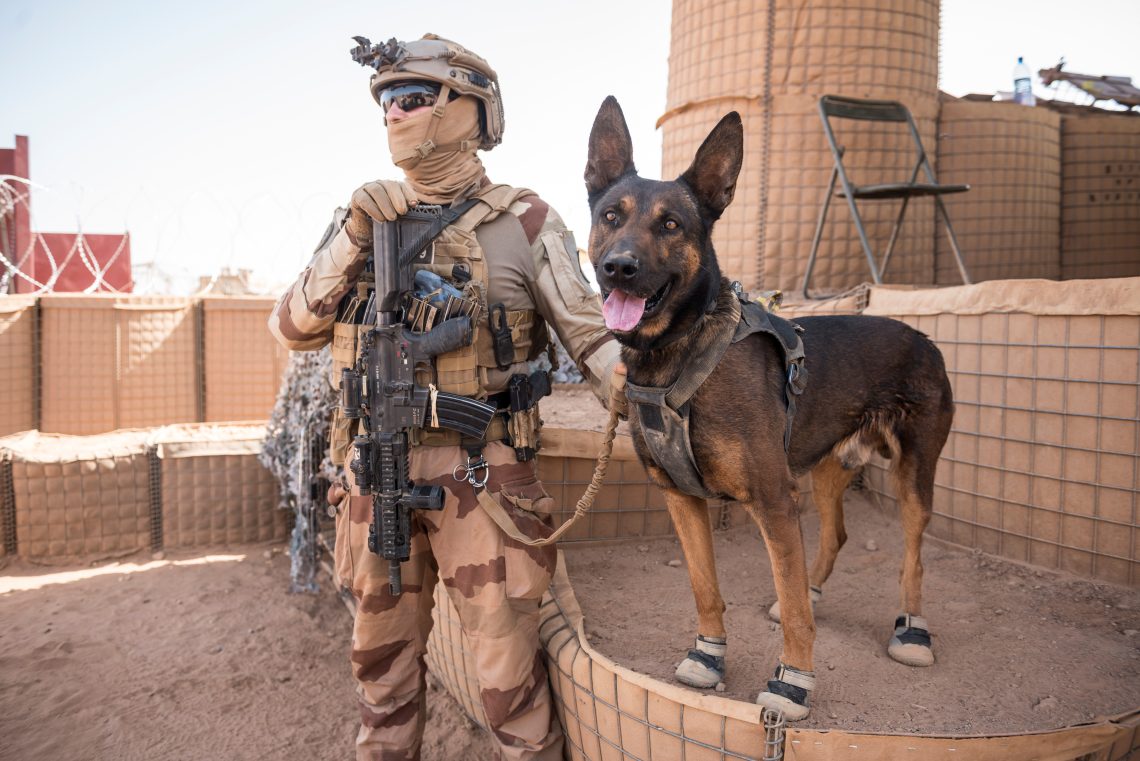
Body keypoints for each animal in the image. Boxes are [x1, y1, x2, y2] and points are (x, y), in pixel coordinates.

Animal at [588, 97, 953, 724]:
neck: (676, 353)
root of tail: (920, 335)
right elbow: (706, 589)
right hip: (827, 469)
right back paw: (812, 587)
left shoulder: (774, 500)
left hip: (912, 473)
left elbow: (796, 614)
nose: (619, 267)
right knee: (836, 535)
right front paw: (708, 656)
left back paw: (911, 630)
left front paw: (793, 683)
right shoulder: (681, 497)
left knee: (912, 553)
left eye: (670, 224)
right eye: (612, 216)